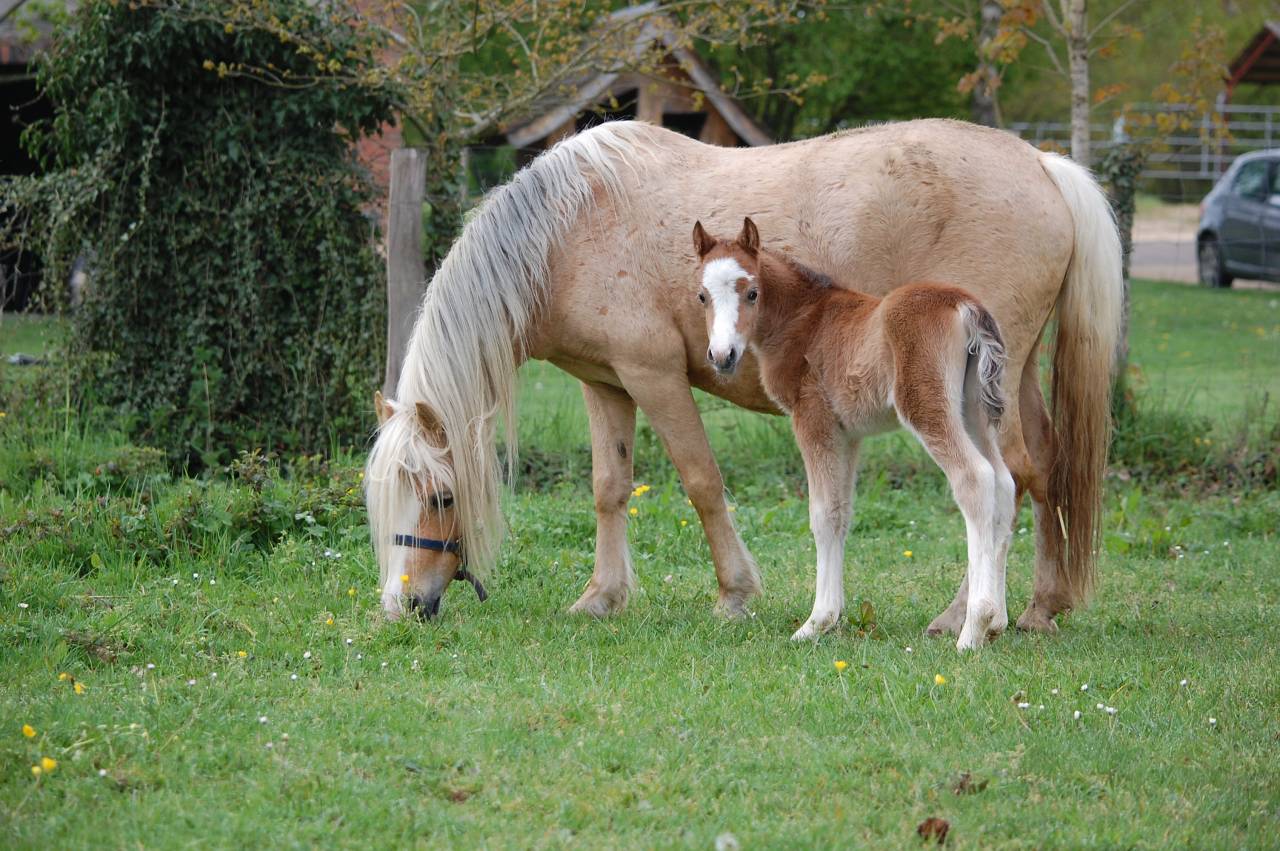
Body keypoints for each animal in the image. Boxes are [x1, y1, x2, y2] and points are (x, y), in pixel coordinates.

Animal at [693, 217, 1015, 649]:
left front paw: (815, 623)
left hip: (926, 404)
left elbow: (822, 514)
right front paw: (833, 618)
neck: (805, 319)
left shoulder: (813, 418)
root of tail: (964, 305)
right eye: (702, 296)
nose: (722, 356)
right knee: (1004, 482)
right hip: (973, 409)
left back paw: (972, 630)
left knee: (975, 478)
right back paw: (997, 621)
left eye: (752, 292)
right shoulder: (849, 434)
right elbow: (842, 512)